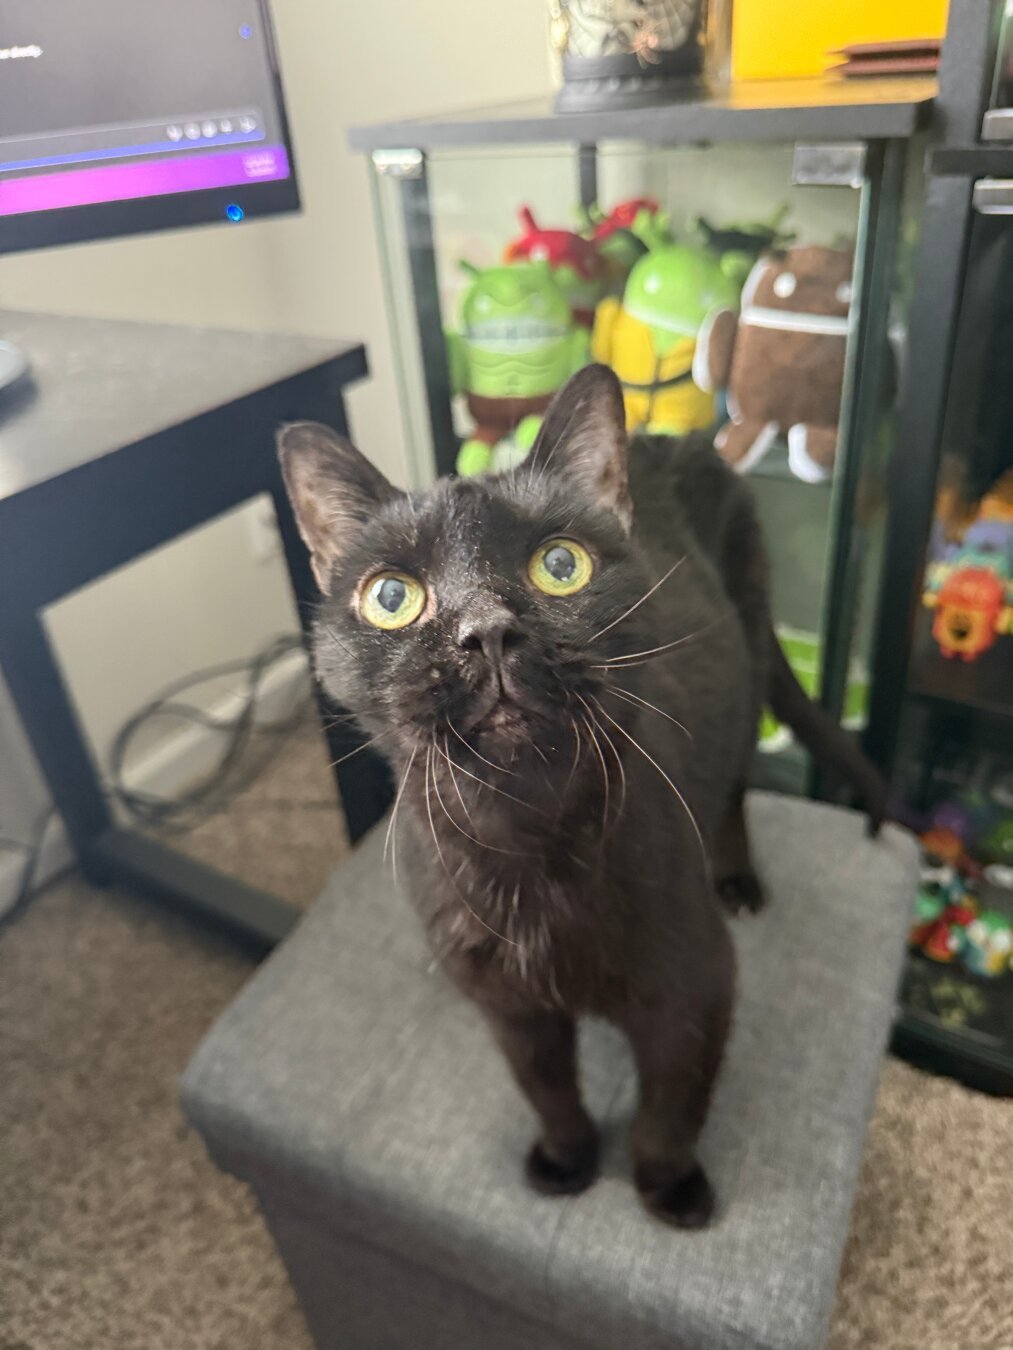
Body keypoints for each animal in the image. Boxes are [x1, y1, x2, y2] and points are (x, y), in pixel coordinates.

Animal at [279, 364, 886, 1231]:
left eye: (559, 566)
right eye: (391, 597)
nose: (486, 631)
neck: (526, 836)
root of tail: (677, 438)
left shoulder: (692, 981)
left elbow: (671, 1100)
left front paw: (668, 1187)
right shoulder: (509, 1004)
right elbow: (545, 1087)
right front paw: (567, 1160)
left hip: (746, 662)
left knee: (735, 787)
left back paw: (737, 877)